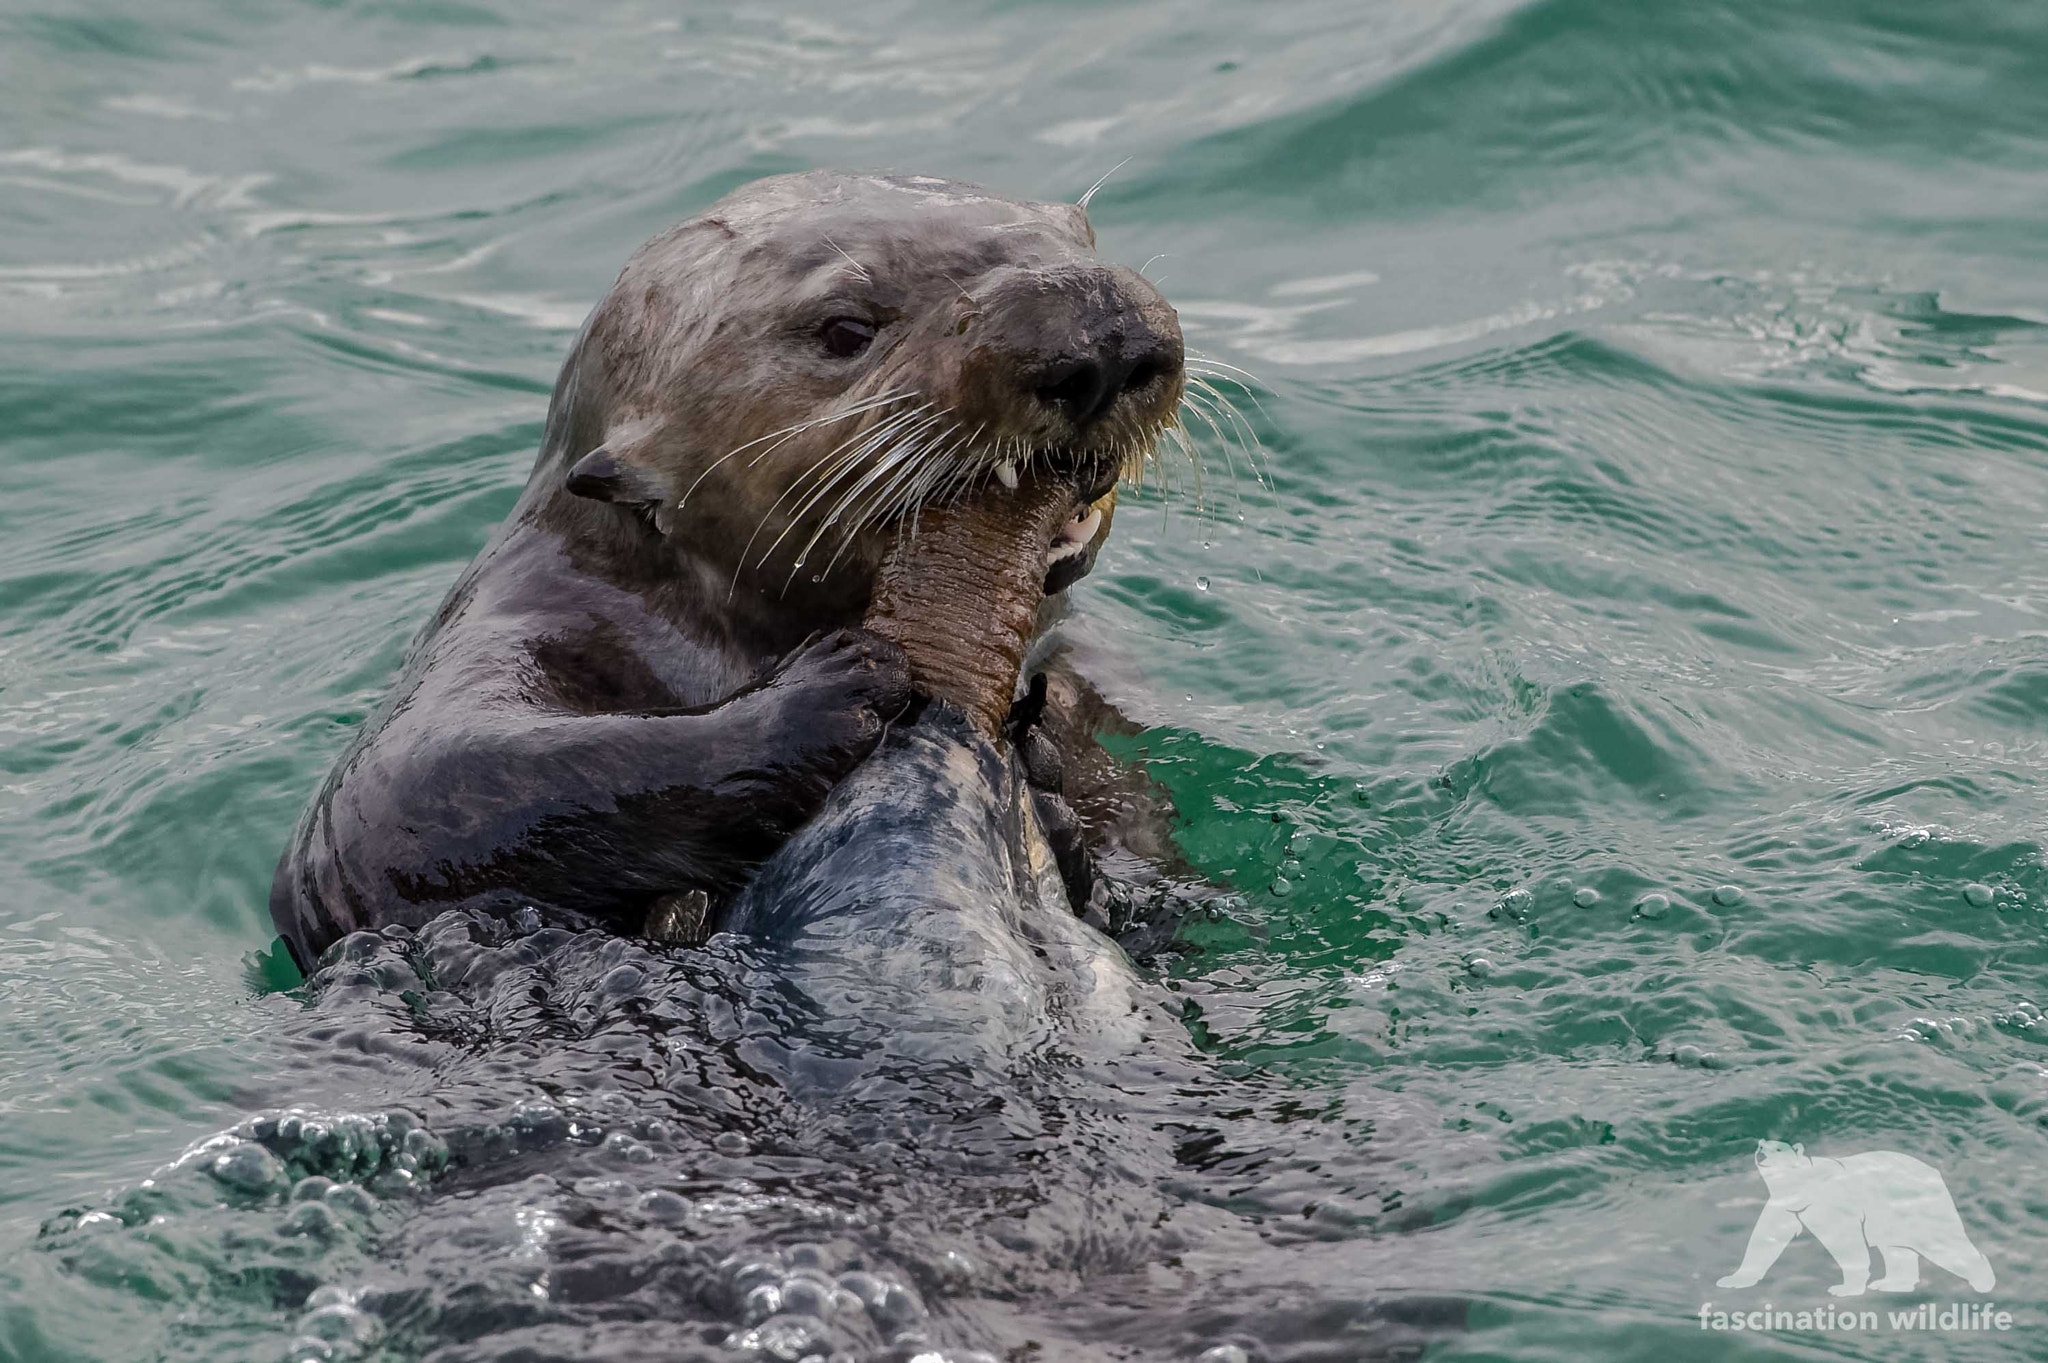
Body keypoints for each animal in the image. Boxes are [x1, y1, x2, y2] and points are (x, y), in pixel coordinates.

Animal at [270, 169, 1187, 965]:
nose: (1099, 329)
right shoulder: (513, 620)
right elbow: (399, 801)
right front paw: (830, 689)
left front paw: (1054, 786)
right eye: (845, 329)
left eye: (1081, 234)